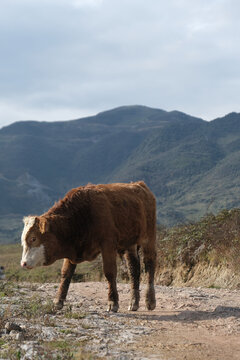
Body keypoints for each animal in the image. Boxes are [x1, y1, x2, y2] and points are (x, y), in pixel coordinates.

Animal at [20, 181, 158, 310]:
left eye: (33, 238)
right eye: (23, 241)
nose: (23, 263)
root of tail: (139, 185)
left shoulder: (108, 245)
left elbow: (109, 272)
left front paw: (112, 302)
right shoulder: (71, 250)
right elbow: (65, 274)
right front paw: (58, 301)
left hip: (149, 238)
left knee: (150, 265)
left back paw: (150, 301)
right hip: (130, 244)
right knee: (133, 269)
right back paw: (133, 302)